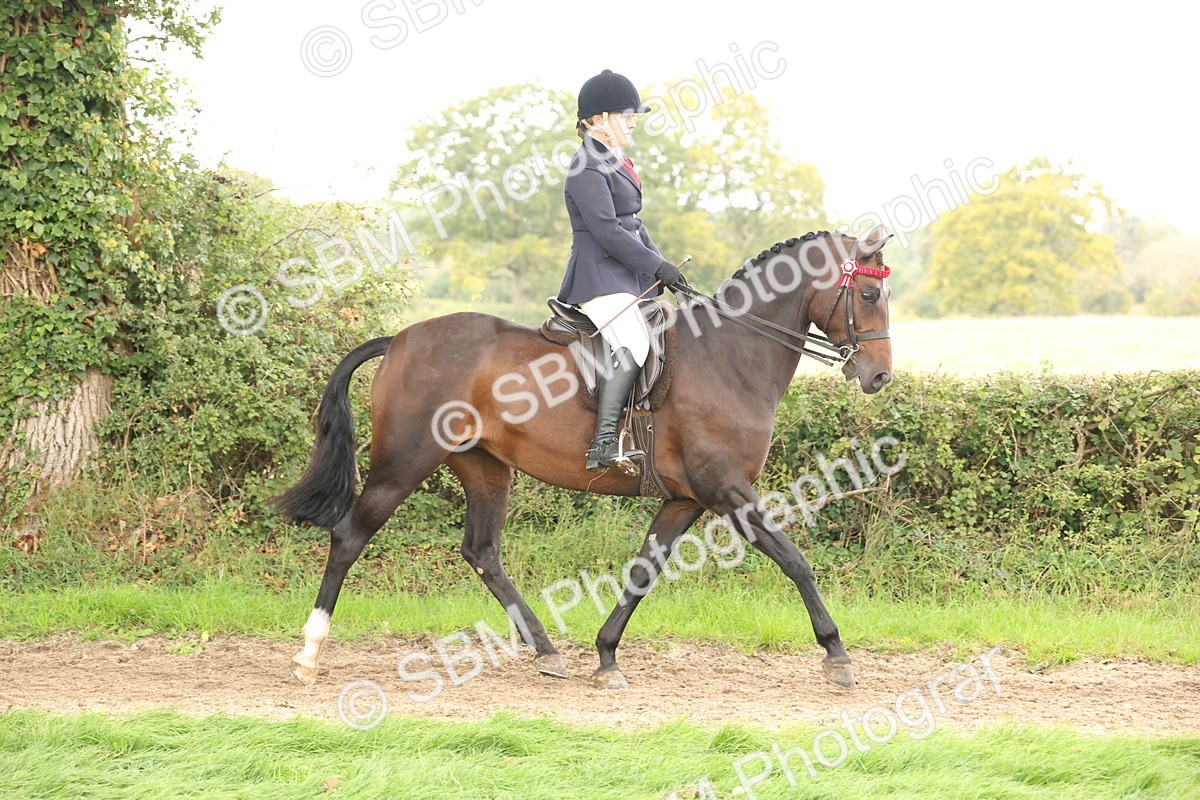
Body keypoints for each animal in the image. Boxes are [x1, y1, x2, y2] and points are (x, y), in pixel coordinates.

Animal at [274, 225, 894, 691]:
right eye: (868, 295)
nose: (879, 377)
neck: (730, 355)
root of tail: (400, 339)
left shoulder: (686, 499)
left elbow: (644, 571)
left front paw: (606, 655)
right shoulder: (728, 492)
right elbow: (795, 561)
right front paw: (837, 654)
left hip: (485, 467)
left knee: (482, 552)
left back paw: (548, 651)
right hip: (403, 463)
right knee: (349, 536)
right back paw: (309, 654)